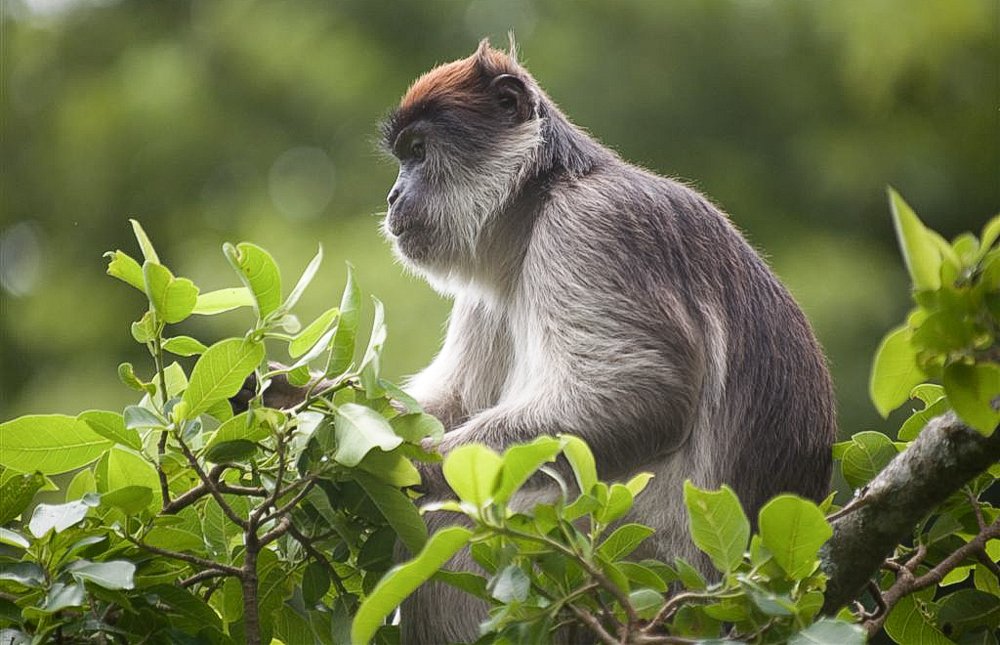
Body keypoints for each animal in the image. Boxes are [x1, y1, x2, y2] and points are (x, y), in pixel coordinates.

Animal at [377, 39, 836, 643]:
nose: (393, 195)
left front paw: (404, 463)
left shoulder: (593, 226)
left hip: (642, 566)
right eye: (403, 157)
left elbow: (643, 392)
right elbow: (456, 401)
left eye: (418, 151)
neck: (539, 199)